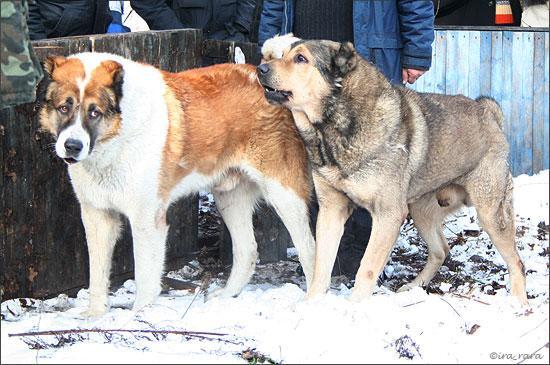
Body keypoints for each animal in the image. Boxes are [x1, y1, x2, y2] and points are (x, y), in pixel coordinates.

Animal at [36, 52, 316, 316]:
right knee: (247, 250)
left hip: (284, 195)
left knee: (310, 249)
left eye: (94, 112)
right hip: (229, 198)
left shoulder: (147, 221)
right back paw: (226, 297)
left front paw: (138, 316)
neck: (117, 137)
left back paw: (312, 300)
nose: (72, 146)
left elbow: (145, 276)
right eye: (64, 108)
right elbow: (97, 275)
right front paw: (95, 316)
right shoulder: (97, 216)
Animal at [258, 39, 532, 304]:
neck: (337, 126)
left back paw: (519, 304)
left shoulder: (387, 214)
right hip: (421, 211)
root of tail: (488, 111)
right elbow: (321, 267)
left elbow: (367, 267)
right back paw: (413, 287)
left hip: (490, 214)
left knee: (517, 262)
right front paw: (311, 306)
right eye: (282, 55)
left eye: (301, 58)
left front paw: (353, 307)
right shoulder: (331, 210)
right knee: (441, 250)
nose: (260, 69)